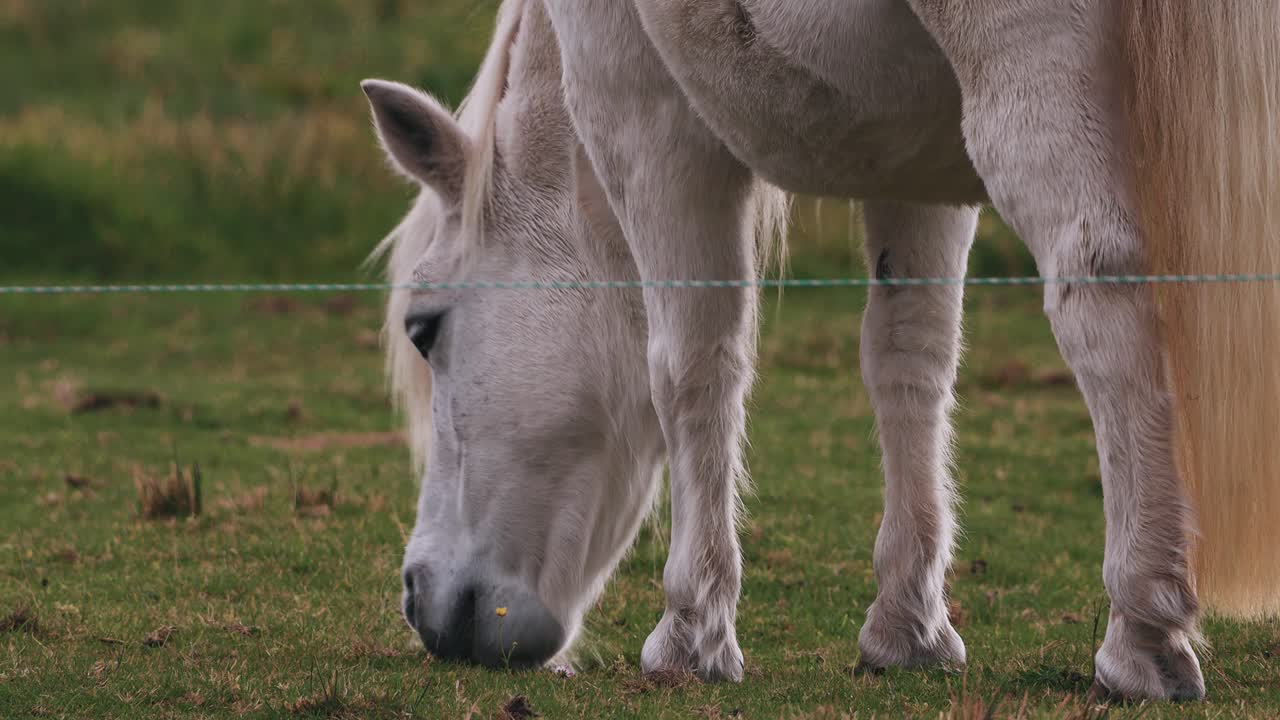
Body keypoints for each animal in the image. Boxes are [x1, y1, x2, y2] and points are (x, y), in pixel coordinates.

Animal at [361, 0, 1280, 702]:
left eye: (424, 328)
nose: (419, 599)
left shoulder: (640, 104)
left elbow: (694, 361)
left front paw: (692, 632)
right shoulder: (917, 167)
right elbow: (910, 355)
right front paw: (907, 625)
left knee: (1100, 292)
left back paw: (1143, 634)